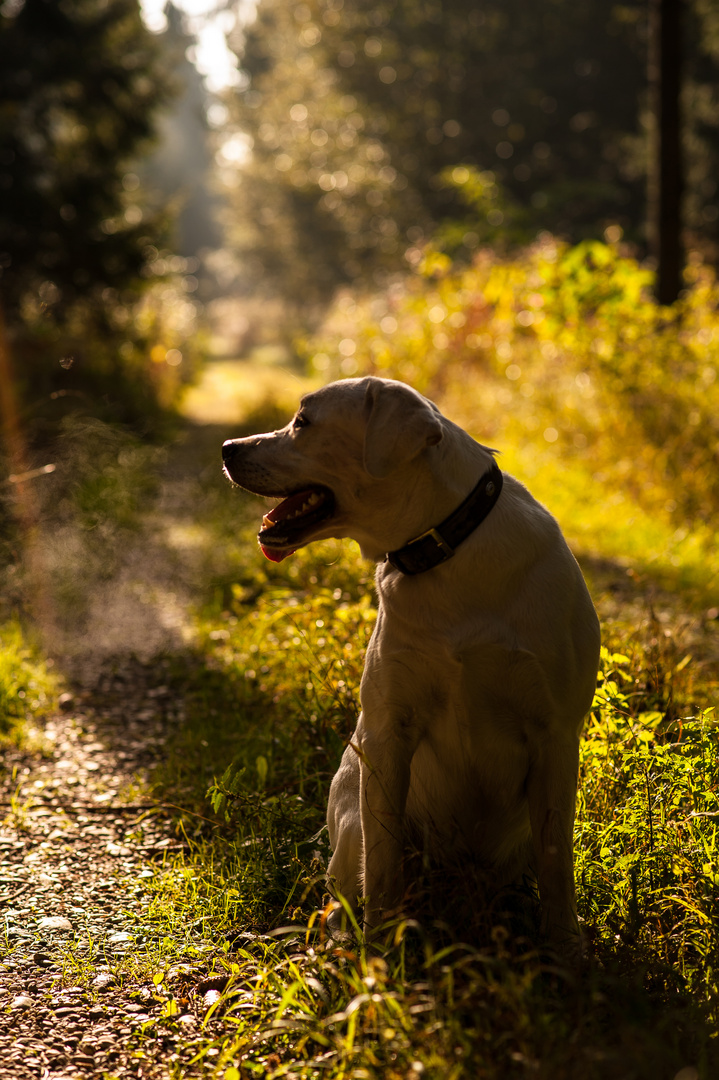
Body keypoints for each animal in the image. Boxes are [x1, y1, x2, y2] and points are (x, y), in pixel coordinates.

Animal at [222, 375, 600, 959]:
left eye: (303, 421)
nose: (227, 449)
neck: (444, 547)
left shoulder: (555, 732)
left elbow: (556, 859)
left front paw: (564, 947)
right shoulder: (387, 730)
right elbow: (381, 862)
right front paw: (380, 949)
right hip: (349, 810)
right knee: (341, 890)